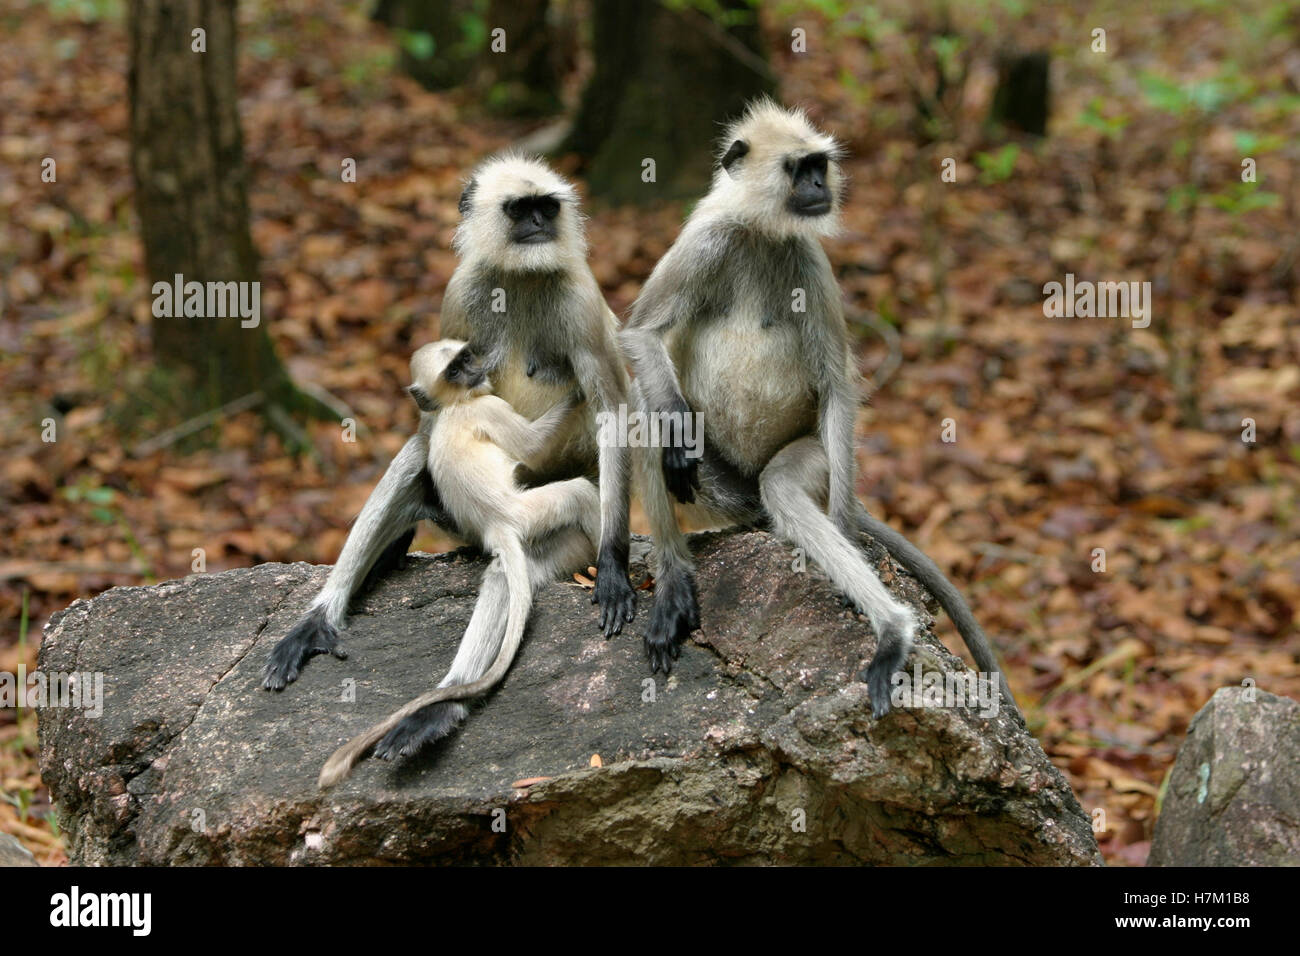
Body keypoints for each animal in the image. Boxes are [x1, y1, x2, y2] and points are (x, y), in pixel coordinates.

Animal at [317, 340, 601, 787]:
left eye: (465, 358)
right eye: (455, 369)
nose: (475, 370)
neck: (455, 405)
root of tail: (497, 524)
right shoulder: (486, 408)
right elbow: (533, 446)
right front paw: (577, 385)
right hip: (532, 512)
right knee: (580, 494)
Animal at [620, 99, 1019, 719]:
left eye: (818, 167)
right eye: (798, 169)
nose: (817, 187)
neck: (762, 232)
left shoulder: (809, 260)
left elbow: (835, 387)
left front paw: (844, 531)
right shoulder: (706, 241)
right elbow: (640, 336)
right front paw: (679, 441)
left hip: (807, 466)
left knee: (782, 487)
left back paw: (891, 631)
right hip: (725, 492)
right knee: (643, 406)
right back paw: (673, 581)